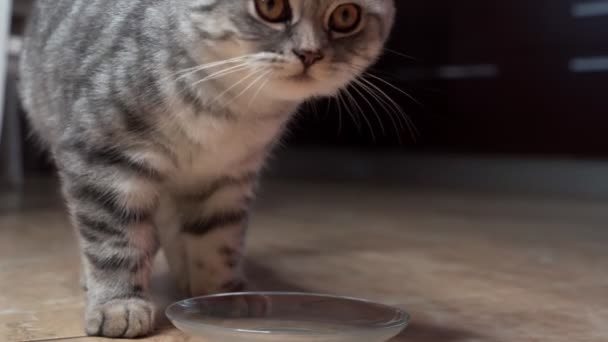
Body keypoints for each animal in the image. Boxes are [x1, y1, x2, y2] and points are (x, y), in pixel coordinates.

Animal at [19, 0, 396, 338]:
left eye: (346, 15)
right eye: (271, 7)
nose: (309, 52)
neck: (231, 108)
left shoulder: (227, 179)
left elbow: (216, 240)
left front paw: (222, 295)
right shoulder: (103, 157)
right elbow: (115, 240)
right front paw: (118, 304)